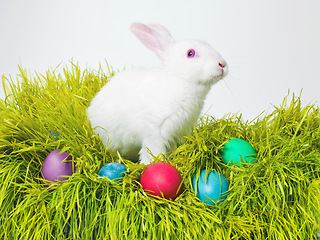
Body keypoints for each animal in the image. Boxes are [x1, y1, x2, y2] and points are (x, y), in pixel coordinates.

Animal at [87, 22, 228, 164]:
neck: (180, 80)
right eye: (190, 53)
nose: (222, 64)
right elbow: (154, 151)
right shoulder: (155, 131)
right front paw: (153, 162)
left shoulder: (181, 130)